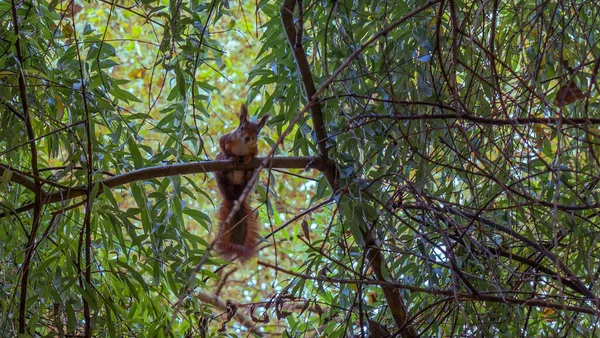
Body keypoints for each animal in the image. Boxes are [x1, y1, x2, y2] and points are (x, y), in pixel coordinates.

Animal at [216, 104, 270, 262]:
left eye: (257, 132)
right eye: (242, 128)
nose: (248, 138)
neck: (242, 145)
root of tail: (235, 196)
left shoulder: (255, 147)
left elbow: (254, 153)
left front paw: (247, 158)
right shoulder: (227, 137)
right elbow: (222, 144)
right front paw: (230, 157)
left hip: (249, 182)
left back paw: (250, 171)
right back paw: (222, 170)